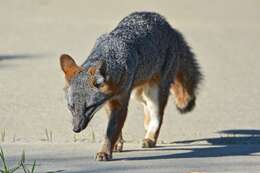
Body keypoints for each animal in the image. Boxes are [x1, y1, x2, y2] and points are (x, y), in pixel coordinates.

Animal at [59, 11, 203, 161]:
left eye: (89, 107)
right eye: (71, 107)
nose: (76, 129)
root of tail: (168, 25)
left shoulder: (120, 103)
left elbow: (110, 132)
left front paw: (105, 152)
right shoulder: (109, 102)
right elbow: (115, 129)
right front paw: (116, 144)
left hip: (154, 93)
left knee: (158, 117)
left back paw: (150, 138)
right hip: (138, 93)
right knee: (147, 110)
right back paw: (147, 130)